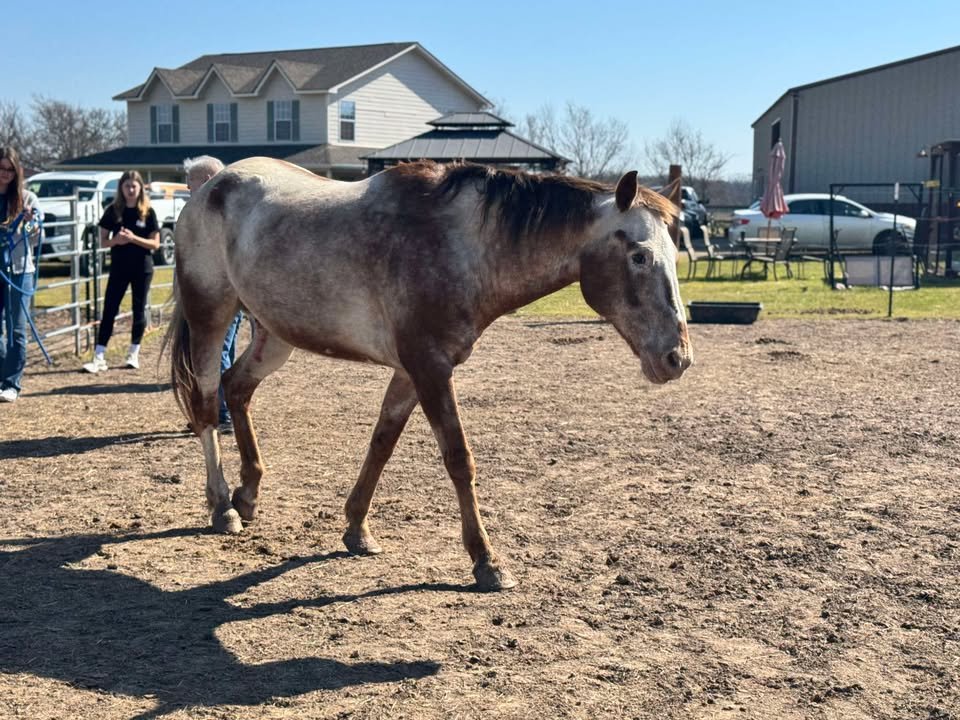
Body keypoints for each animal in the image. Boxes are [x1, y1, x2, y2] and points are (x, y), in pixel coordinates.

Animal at [165, 157, 692, 591]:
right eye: (640, 255)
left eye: (675, 254)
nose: (678, 358)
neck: (462, 245)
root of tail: (212, 183)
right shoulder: (430, 368)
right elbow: (459, 459)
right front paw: (486, 561)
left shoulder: (410, 372)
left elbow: (382, 443)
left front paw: (357, 528)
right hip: (212, 316)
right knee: (207, 404)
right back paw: (222, 507)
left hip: (275, 335)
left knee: (237, 388)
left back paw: (248, 494)